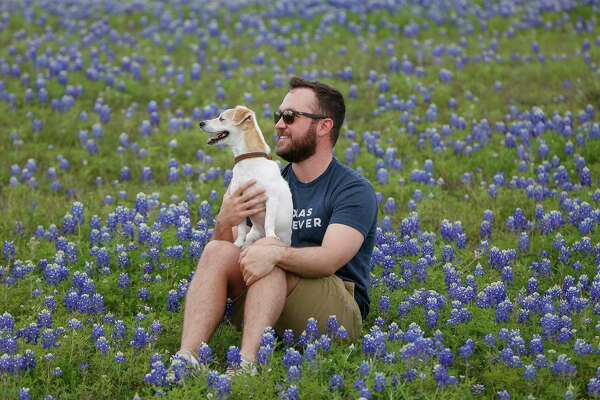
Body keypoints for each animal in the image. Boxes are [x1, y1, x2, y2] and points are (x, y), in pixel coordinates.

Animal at [199, 104, 292, 248]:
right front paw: (237, 243)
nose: (201, 123)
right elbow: (241, 228)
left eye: (222, 118)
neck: (248, 160)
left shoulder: (271, 198)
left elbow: (268, 221)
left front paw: (271, 236)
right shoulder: (240, 202)